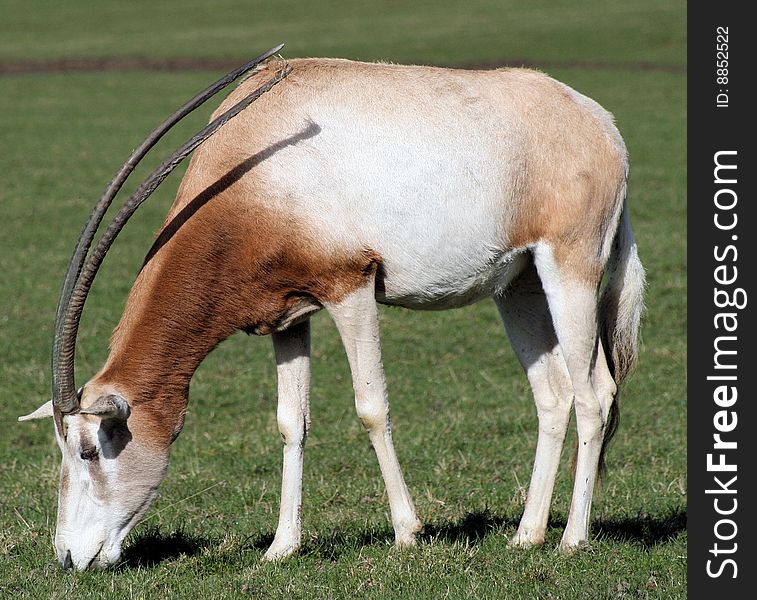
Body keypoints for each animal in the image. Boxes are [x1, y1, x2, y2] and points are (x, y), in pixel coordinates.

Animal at [19, 44, 644, 568]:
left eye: (89, 450)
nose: (68, 557)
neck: (254, 162)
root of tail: (603, 125)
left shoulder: (352, 287)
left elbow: (372, 408)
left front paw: (408, 531)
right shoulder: (288, 315)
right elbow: (289, 422)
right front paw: (281, 546)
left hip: (570, 270)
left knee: (594, 393)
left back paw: (572, 539)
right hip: (518, 286)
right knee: (554, 395)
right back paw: (527, 535)